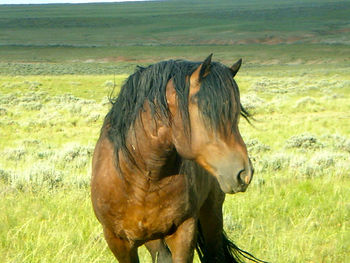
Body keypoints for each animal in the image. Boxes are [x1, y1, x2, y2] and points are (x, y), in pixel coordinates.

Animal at [91, 54, 266, 263]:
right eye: (206, 110)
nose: (244, 173)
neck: (142, 178)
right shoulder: (118, 241)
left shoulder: (184, 231)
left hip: (212, 211)